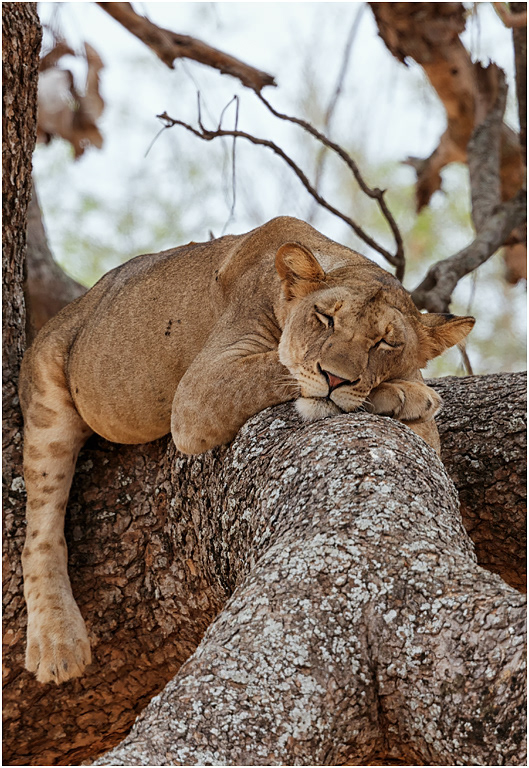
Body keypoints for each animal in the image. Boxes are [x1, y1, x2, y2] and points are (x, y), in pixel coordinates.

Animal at [18, 216, 474, 684]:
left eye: (386, 343)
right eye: (325, 318)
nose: (335, 378)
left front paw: (401, 391)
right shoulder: (198, 392)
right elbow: (281, 364)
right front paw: (408, 392)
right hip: (48, 403)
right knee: (39, 533)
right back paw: (57, 643)